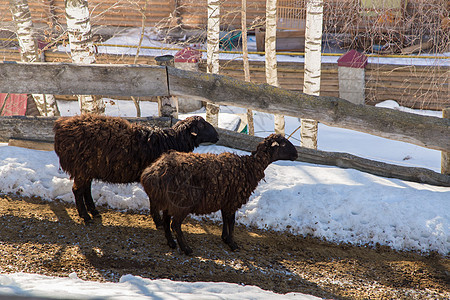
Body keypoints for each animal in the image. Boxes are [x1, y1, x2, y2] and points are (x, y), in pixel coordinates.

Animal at [53, 113, 219, 224]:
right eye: (202, 125)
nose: (217, 136)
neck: (171, 141)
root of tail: (60, 126)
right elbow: (154, 200)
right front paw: (158, 221)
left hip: (87, 169)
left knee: (86, 189)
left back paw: (94, 212)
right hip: (82, 167)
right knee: (77, 190)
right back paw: (85, 216)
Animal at [139, 135, 298, 254]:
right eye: (284, 144)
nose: (297, 154)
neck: (249, 167)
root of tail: (152, 173)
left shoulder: (224, 200)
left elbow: (225, 220)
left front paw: (225, 238)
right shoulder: (233, 200)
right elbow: (232, 222)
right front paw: (233, 244)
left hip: (170, 201)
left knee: (166, 221)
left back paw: (171, 243)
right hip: (182, 202)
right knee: (175, 225)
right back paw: (186, 249)